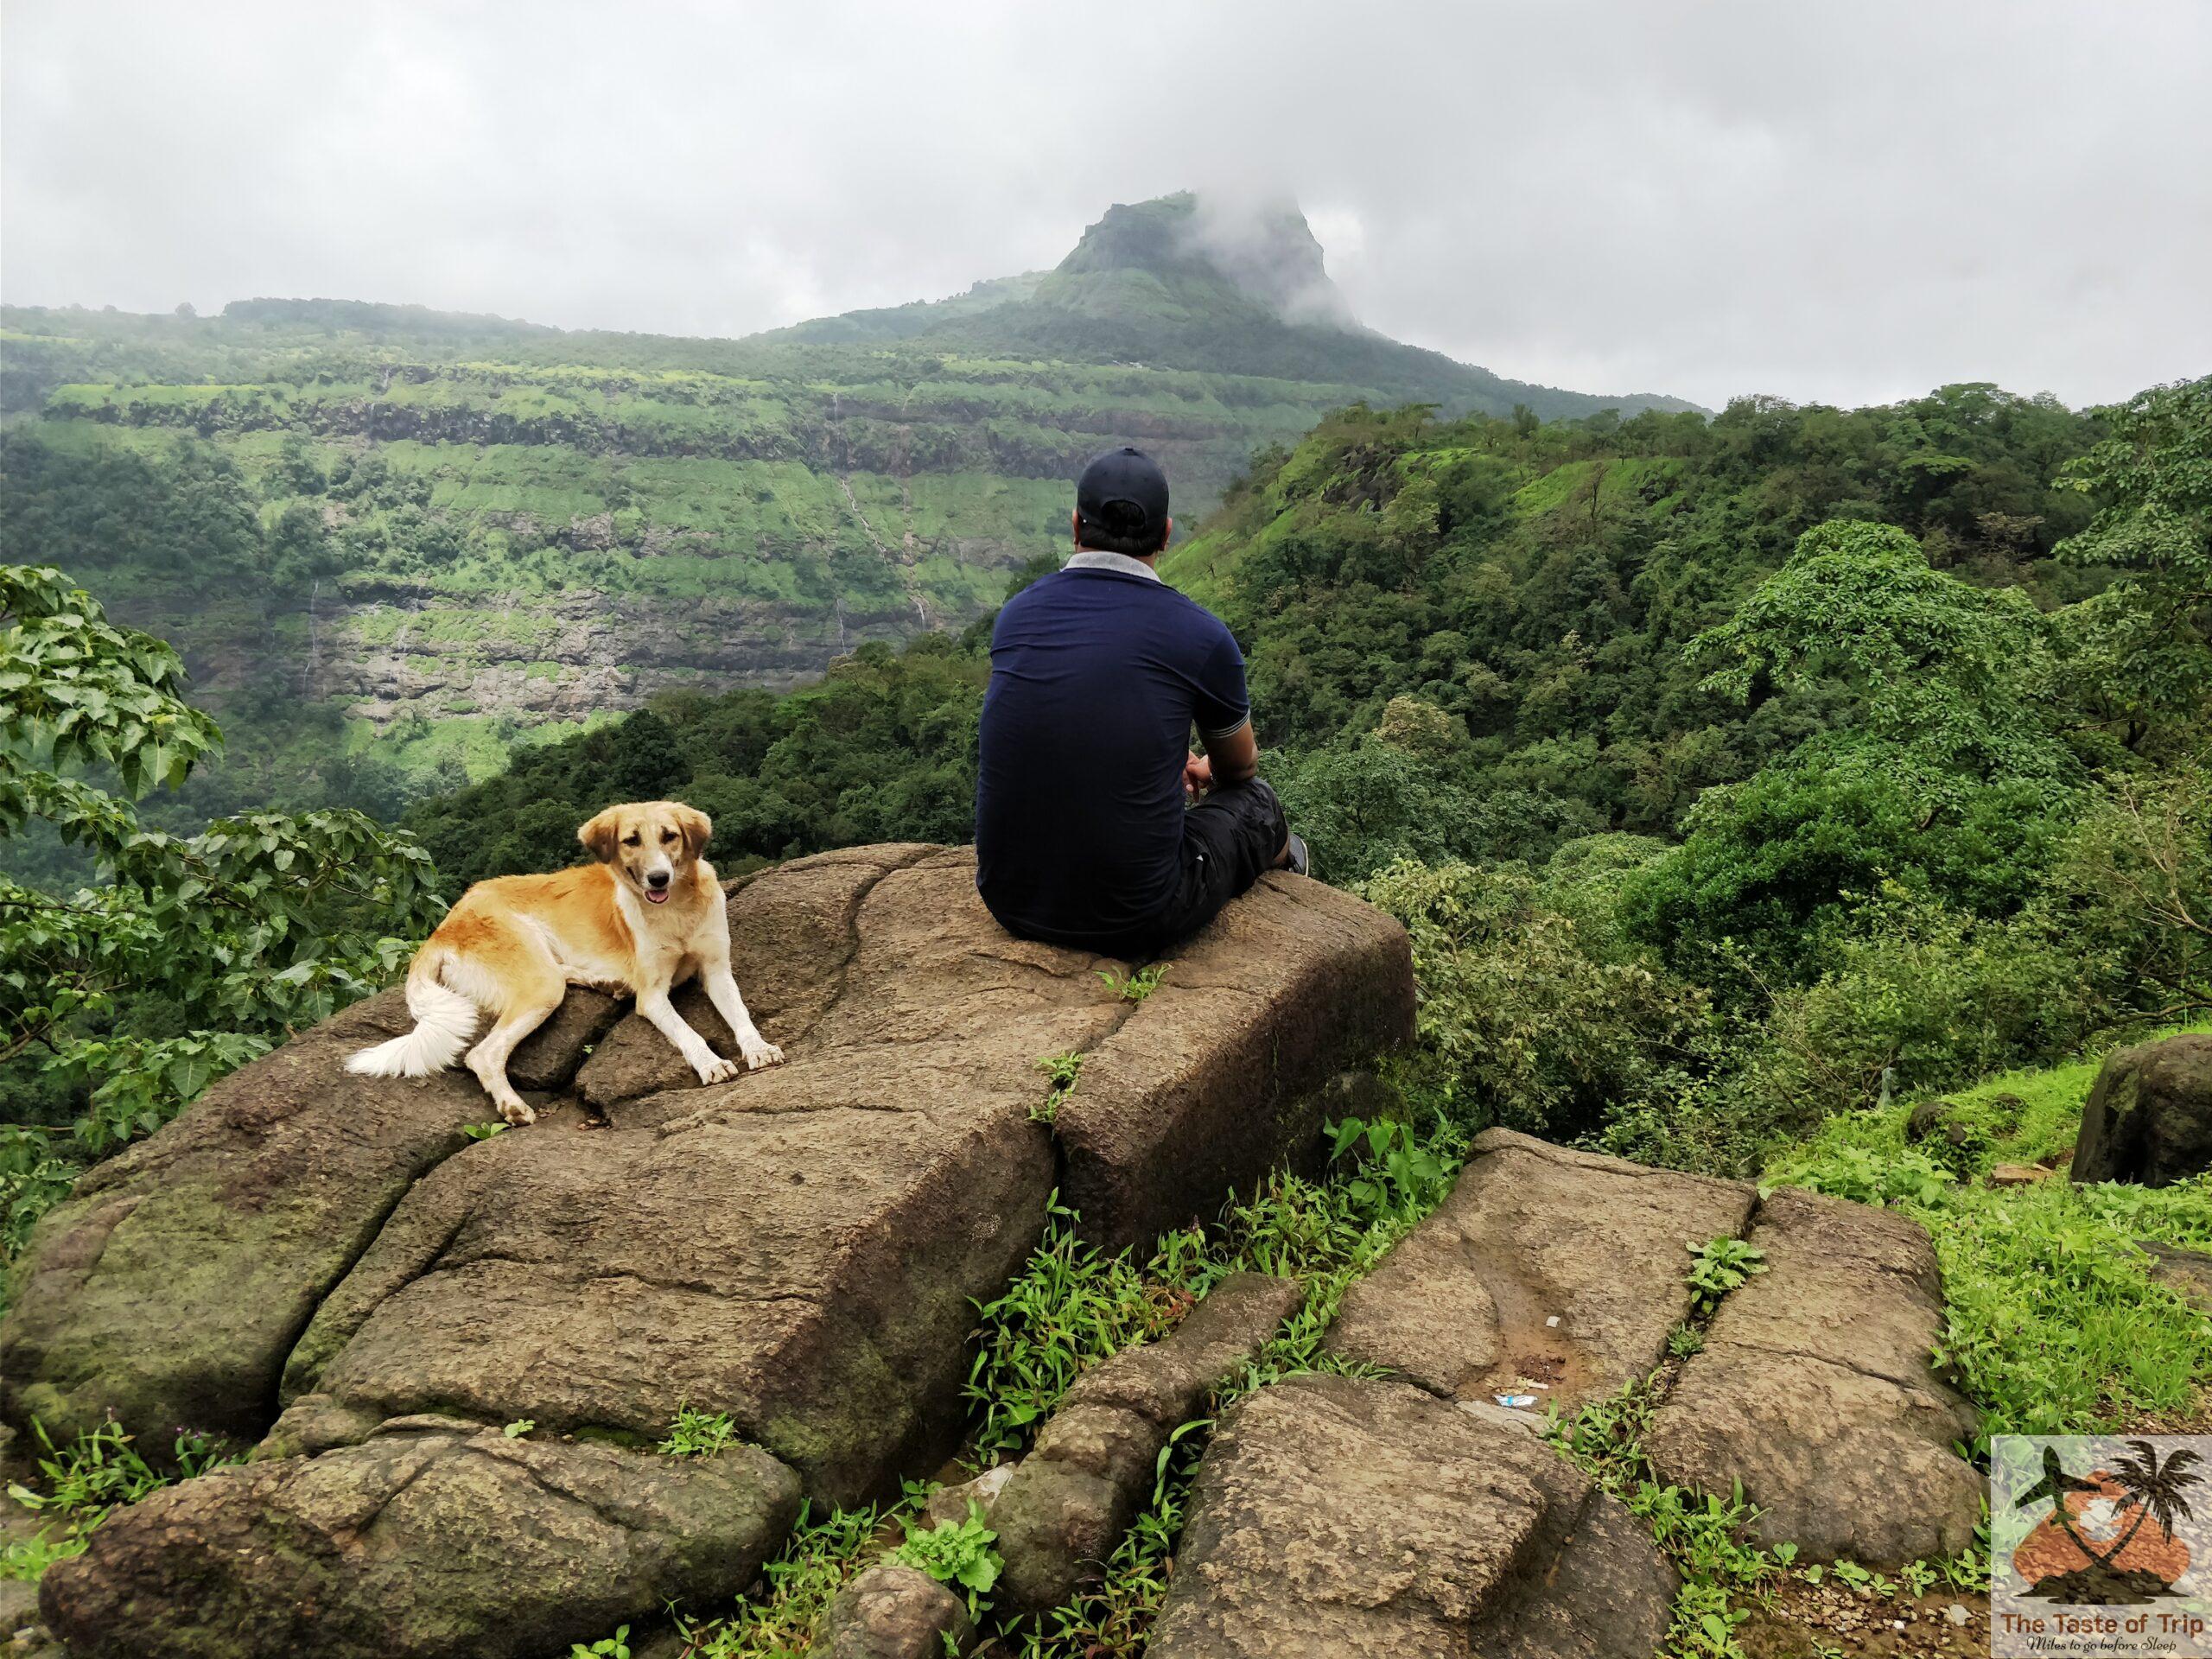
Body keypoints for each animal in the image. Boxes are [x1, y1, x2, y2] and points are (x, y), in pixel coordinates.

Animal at [346, 800, 787, 1123]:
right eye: (631, 840)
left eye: (670, 837)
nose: (658, 878)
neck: (677, 909)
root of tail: (445, 925)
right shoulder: (653, 996)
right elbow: (688, 1032)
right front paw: (710, 1063)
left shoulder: (716, 970)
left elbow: (740, 1012)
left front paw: (759, 1048)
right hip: (538, 981)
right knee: (481, 1054)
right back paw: (512, 1106)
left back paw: (607, 983)